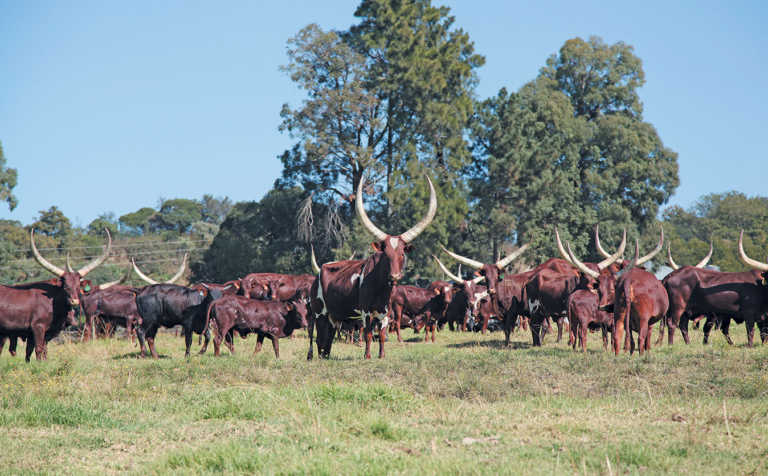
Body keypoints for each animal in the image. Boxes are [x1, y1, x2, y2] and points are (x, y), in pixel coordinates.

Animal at [0, 229, 112, 358]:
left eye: (78, 286)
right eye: (65, 286)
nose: (74, 301)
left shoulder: (47, 333)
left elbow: (43, 351)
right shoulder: (38, 327)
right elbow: (38, 350)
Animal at [308, 173, 438, 358]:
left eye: (402, 254)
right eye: (386, 254)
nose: (394, 276)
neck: (380, 288)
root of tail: (320, 271)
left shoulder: (385, 313)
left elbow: (382, 335)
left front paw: (381, 355)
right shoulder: (365, 312)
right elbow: (368, 333)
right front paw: (367, 355)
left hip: (333, 315)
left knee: (328, 338)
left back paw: (326, 356)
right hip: (320, 312)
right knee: (319, 337)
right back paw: (318, 357)